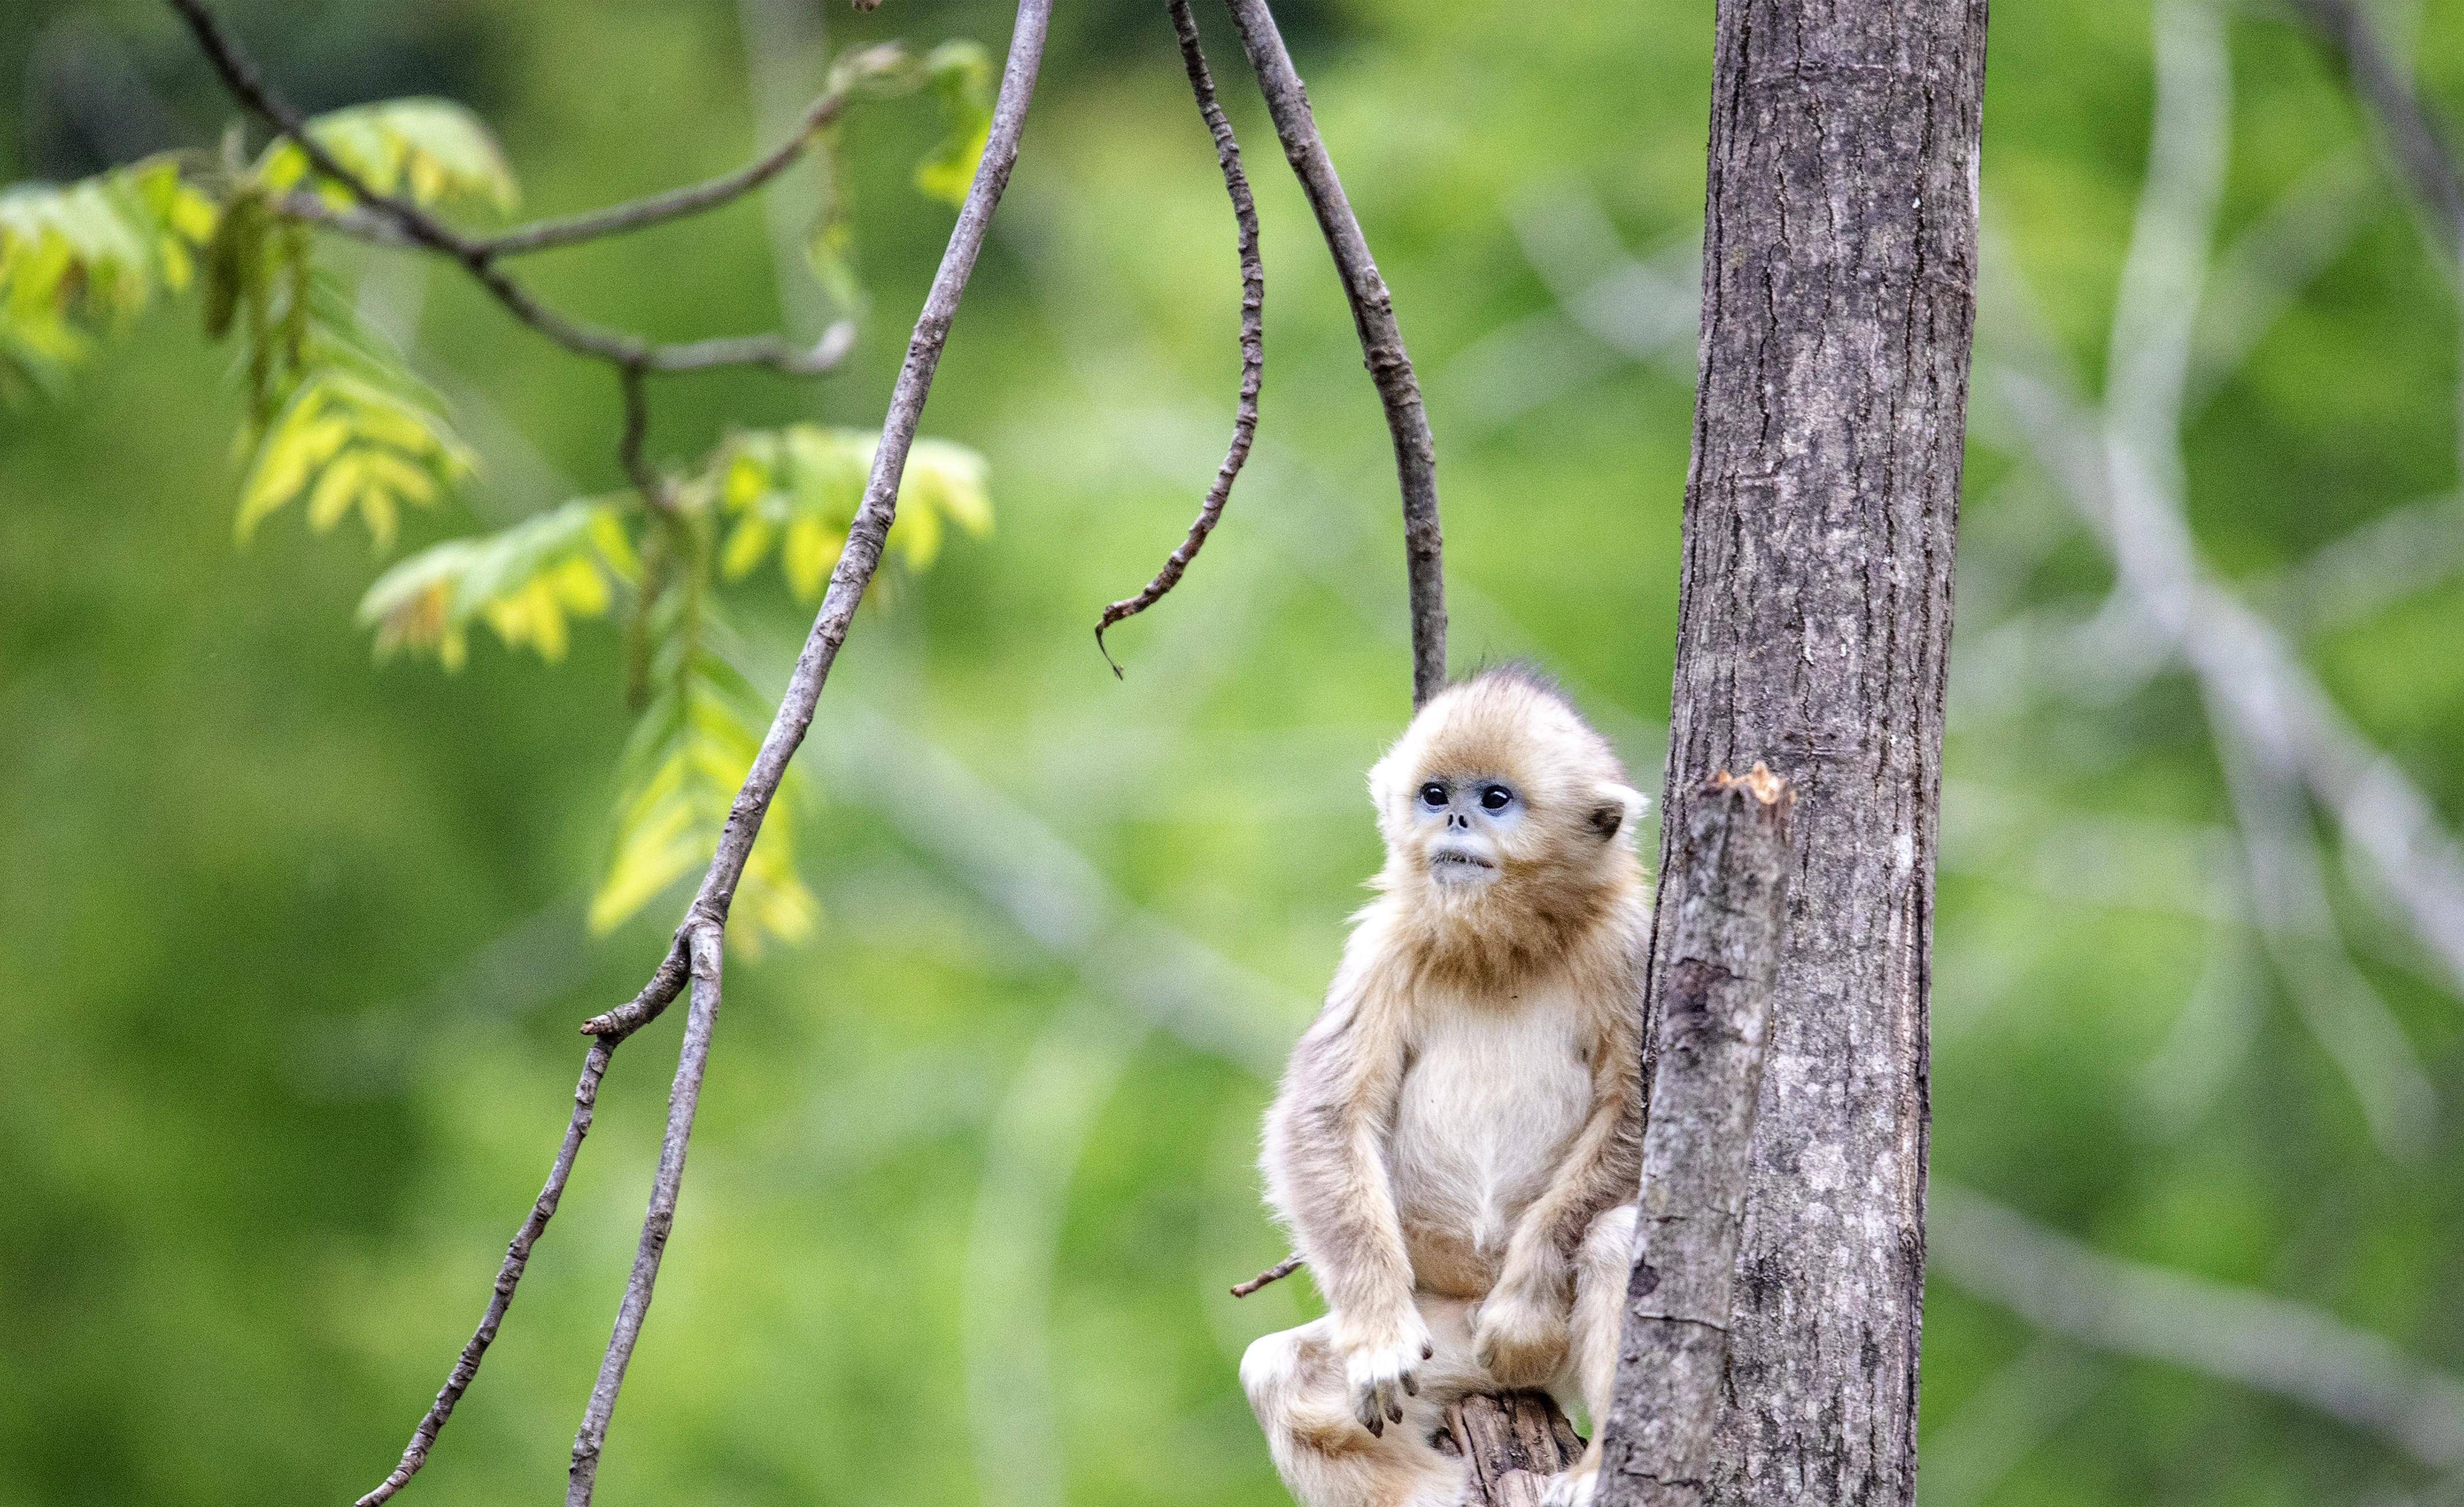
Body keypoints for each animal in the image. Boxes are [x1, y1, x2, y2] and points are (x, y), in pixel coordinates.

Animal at [1242, 670, 1646, 1507]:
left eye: (1494, 799)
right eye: (1434, 794)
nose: (1455, 818)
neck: (1503, 949)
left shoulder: (1629, 942)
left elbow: (1636, 1103)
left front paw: (1524, 1309)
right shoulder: (1380, 945)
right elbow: (1325, 1116)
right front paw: (1378, 1337)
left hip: (1519, 1350)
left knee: (1614, 1241)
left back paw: (1592, 1470)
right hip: (1450, 1339)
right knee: (1276, 1371)